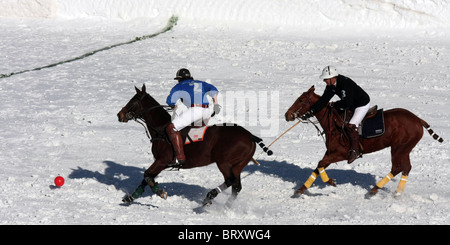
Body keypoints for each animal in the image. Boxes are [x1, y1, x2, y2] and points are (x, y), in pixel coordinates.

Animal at [118, 84, 272, 207]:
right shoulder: (161, 162)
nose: (119, 115)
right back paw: (226, 206)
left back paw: (209, 197)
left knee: (230, 180)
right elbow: (147, 177)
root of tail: (251, 136)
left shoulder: (162, 160)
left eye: (132, 101)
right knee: (236, 186)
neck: (161, 129)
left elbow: (147, 174)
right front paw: (130, 197)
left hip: (224, 162)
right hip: (238, 165)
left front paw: (160, 192)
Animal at [284, 86, 442, 197]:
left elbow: (320, 163)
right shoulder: (331, 153)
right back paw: (396, 193)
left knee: (397, 167)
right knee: (406, 168)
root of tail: (418, 119)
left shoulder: (341, 154)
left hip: (399, 148)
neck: (333, 123)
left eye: (301, 100)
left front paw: (331, 182)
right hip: (404, 149)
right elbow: (319, 166)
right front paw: (300, 190)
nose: (287, 115)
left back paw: (375, 190)